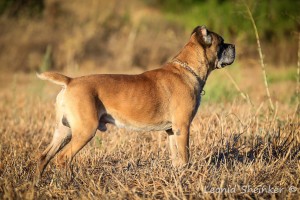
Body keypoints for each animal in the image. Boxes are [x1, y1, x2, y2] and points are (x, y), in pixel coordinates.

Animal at [37, 25, 234, 176]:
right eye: (221, 42)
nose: (233, 45)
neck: (187, 69)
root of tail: (70, 81)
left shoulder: (172, 131)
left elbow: (176, 158)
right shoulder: (182, 128)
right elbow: (185, 156)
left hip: (64, 131)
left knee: (44, 156)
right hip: (84, 130)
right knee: (63, 158)